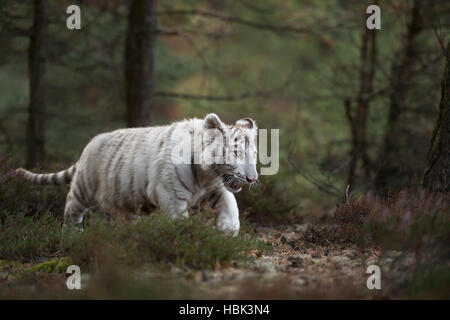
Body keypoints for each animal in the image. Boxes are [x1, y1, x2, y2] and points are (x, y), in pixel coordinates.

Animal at [16, 114, 256, 235]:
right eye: (236, 153)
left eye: (253, 154)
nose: (253, 179)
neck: (207, 174)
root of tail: (87, 147)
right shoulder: (170, 194)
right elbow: (179, 219)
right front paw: (185, 235)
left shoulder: (214, 188)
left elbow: (230, 202)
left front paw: (229, 229)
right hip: (84, 187)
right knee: (71, 206)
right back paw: (72, 234)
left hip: (126, 198)